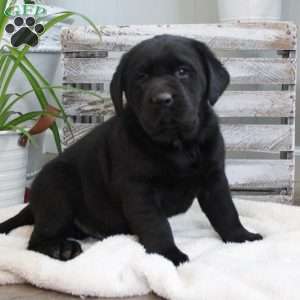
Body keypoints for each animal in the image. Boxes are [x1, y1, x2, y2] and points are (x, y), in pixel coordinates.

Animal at [0, 34, 262, 264]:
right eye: (142, 77)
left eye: (183, 71)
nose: (162, 99)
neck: (177, 144)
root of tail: (33, 203)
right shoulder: (139, 189)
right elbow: (156, 224)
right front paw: (168, 254)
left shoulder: (214, 177)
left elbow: (226, 210)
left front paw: (241, 237)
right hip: (58, 187)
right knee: (36, 239)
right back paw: (61, 248)